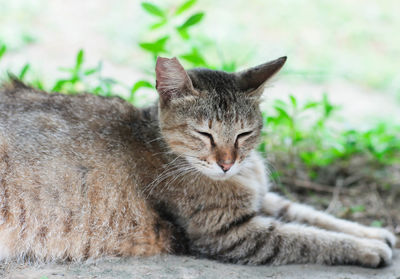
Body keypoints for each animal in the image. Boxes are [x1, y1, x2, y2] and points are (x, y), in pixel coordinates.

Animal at [0, 55, 396, 268]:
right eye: (204, 134)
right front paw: (368, 249)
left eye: (244, 133)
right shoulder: (230, 233)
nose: (226, 163)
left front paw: (374, 232)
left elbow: (313, 215)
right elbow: (308, 238)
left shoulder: (265, 199)